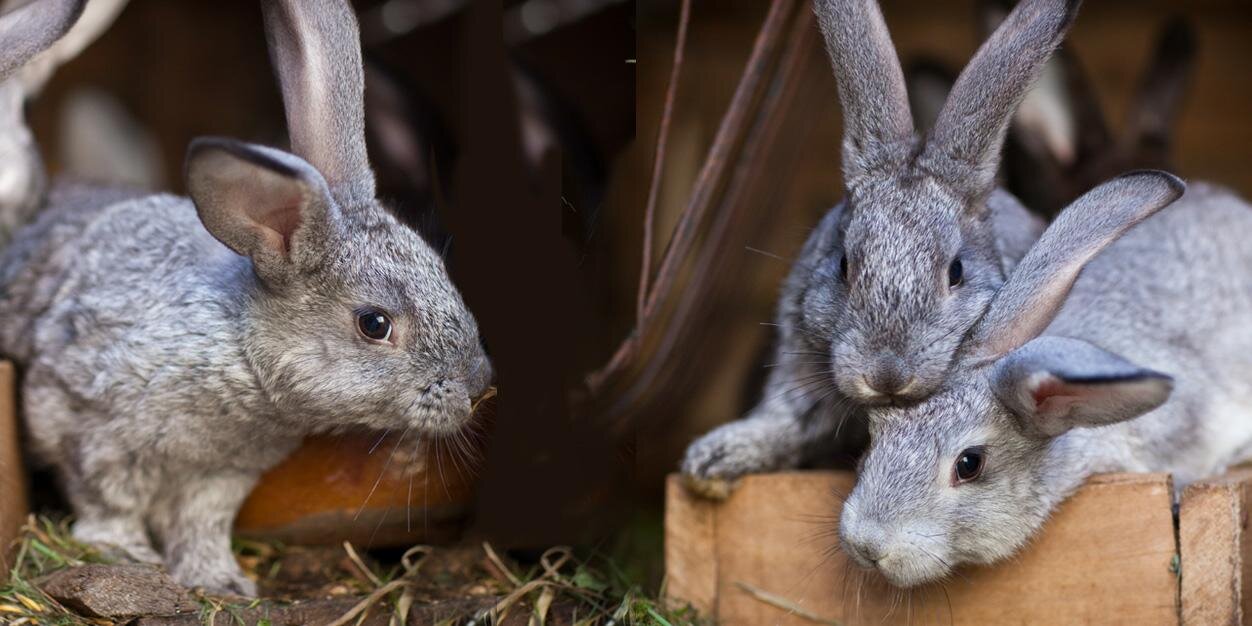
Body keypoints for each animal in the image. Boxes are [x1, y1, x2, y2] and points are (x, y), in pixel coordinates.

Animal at [0, 0, 492, 596]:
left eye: (442, 270)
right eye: (374, 324)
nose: (479, 383)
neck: (241, 348)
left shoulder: (220, 478)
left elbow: (201, 525)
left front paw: (221, 581)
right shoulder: (85, 427)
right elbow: (108, 502)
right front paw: (128, 555)